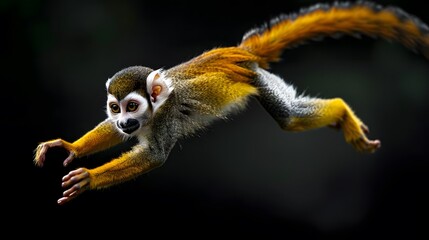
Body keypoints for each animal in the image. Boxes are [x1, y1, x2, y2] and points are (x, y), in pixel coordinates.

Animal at [34, 1, 428, 204]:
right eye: (116, 109)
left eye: (132, 106)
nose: (124, 119)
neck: (154, 110)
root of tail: (239, 53)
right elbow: (114, 135)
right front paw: (70, 146)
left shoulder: (164, 118)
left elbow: (154, 156)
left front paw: (89, 179)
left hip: (259, 80)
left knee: (288, 117)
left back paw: (343, 110)